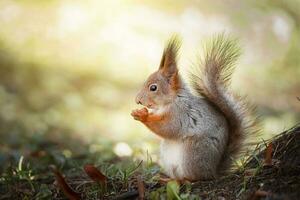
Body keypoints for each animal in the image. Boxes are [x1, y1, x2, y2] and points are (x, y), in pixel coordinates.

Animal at [130, 34, 256, 181]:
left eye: (153, 88)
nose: (137, 100)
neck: (171, 101)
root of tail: (213, 171)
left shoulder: (181, 113)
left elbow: (169, 128)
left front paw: (142, 115)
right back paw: (167, 178)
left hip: (193, 152)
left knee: (195, 177)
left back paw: (184, 180)